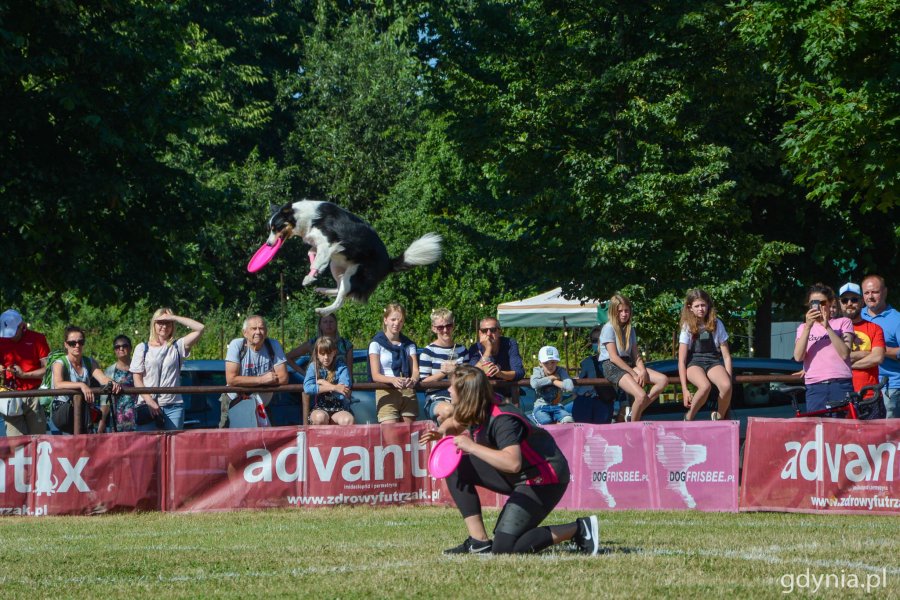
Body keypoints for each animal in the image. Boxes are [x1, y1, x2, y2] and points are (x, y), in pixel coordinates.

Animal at [268, 200, 442, 316]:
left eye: (276, 228)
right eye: (271, 228)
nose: (269, 244)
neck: (306, 217)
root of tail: (388, 263)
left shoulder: (328, 244)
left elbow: (317, 261)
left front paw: (310, 277)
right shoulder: (321, 245)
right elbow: (311, 253)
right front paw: (313, 273)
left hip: (354, 274)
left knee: (342, 298)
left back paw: (323, 310)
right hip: (337, 266)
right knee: (340, 289)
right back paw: (322, 290)